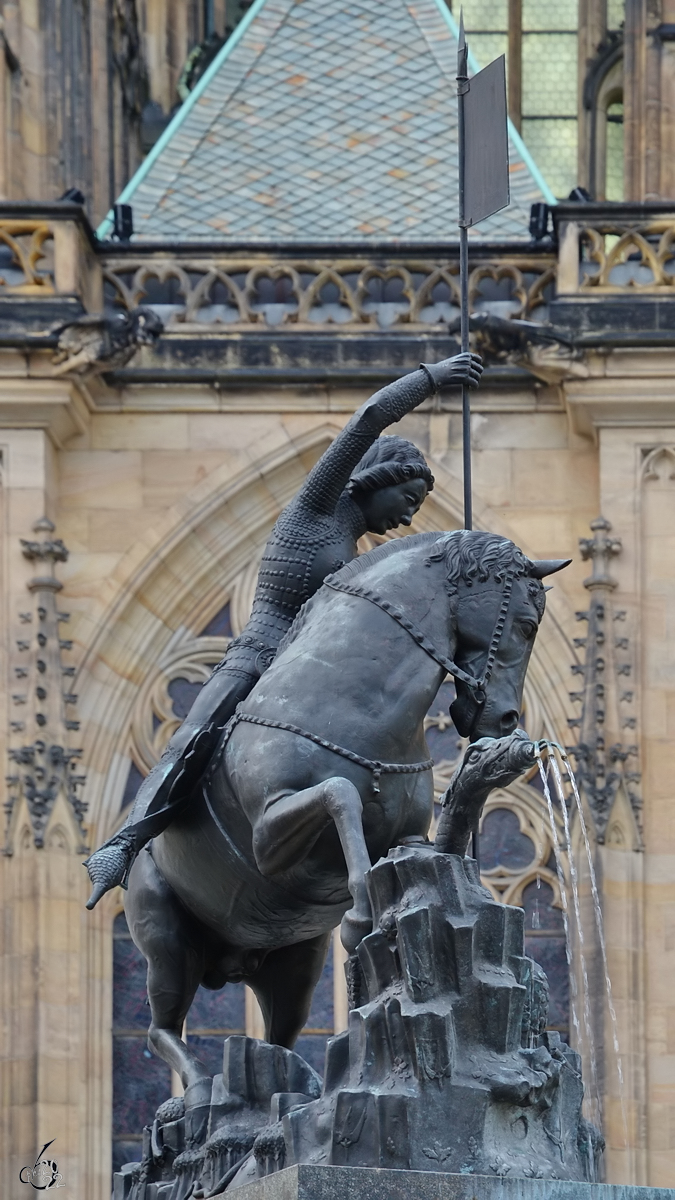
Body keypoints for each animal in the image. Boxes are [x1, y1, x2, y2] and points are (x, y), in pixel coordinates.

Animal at [123, 530, 564, 1099]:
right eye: (527, 624)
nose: (507, 720)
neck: (354, 703)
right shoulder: (267, 838)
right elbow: (341, 795)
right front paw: (358, 910)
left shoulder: (415, 842)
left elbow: (439, 840)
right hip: (166, 940)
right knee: (161, 1029)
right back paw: (200, 1087)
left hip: (297, 964)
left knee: (278, 1039)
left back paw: (299, 1085)